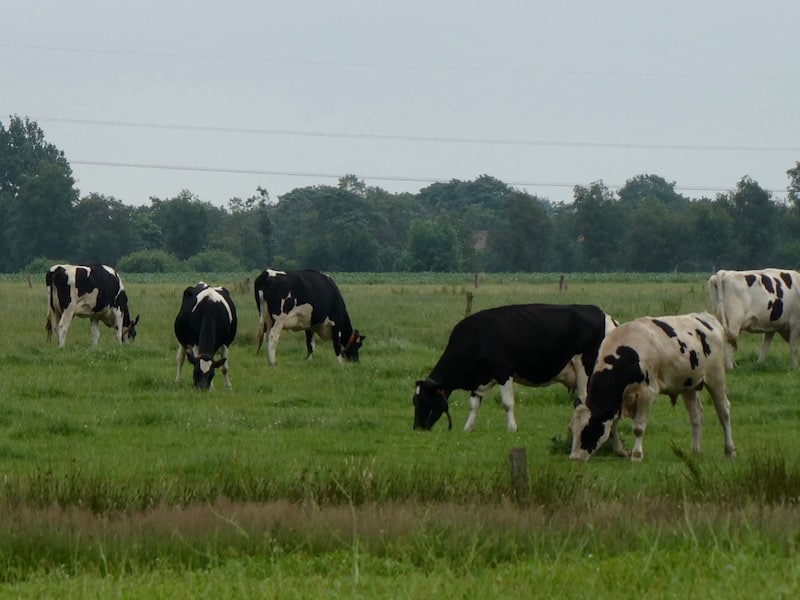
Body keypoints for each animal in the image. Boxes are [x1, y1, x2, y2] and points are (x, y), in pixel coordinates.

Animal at [412, 304, 618, 433]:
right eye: (414, 401)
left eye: (424, 400)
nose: (418, 427)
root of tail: (604, 315)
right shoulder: (480, 378)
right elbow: (474, 404)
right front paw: (468, 428)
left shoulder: (503, 372)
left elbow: (507, 403)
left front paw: (512, 428)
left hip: (586, 368)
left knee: (585, 399)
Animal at [569, 312, 736, 462]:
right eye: (572, 429)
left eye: (588, 429)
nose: (574, 458)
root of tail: (707, 317)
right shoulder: (617, 402)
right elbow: (612, 428)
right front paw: (621, 451)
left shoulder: (646, 393)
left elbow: (638, 427)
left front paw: (636, 455)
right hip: (689, 386)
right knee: (696, 416)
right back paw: (695, 451)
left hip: (716, 377)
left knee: (724, 411)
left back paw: (730, 450)